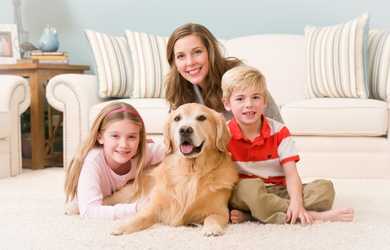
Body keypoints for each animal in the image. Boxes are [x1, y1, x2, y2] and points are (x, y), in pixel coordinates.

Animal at [103, 102, 238, 235]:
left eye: (201, 118)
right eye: (177, 118)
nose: (185, 130)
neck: (190, 171)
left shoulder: (221, 211)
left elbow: (212, 218)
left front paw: (211, 229)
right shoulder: (153, 207)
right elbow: (140, 217)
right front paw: (122, 227)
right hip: (126, 194)